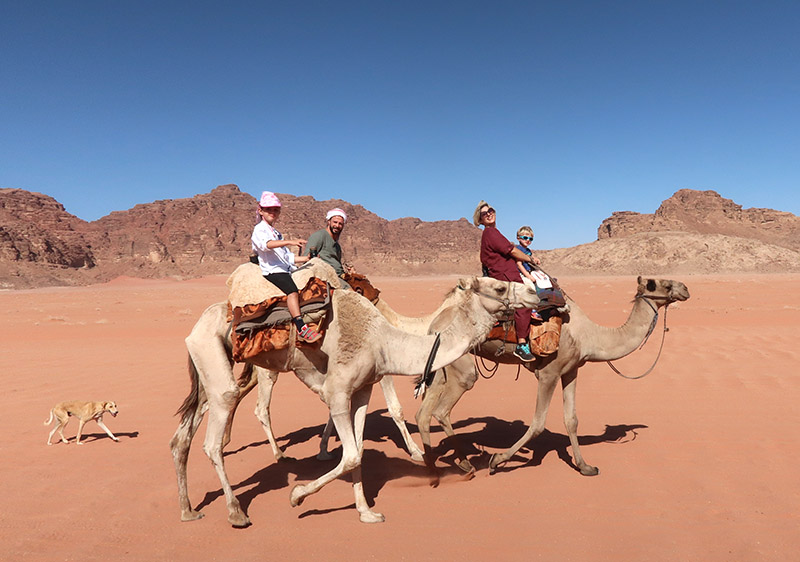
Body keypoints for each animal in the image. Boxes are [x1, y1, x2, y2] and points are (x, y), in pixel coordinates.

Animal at [168, 274, 536, 524]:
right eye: (498, 287)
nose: (535, 291)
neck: (385, 339)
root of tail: (196, 326)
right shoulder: (338, 392)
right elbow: (351, 454)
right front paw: (297, 496)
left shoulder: (361, 391)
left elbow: (357, 453)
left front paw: (366, 512)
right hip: (221, 365)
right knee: (214, 439)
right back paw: (236, 511)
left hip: (207, 369)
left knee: (182, 437)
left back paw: (188, 509)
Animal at [416, 274, 692, 474]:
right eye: (665, 284)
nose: (686, 288)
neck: (589, 335)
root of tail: (435, 321)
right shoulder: (549, 373)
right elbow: (538, 423)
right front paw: (497, 460)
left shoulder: (571, 370)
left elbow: (572, 420)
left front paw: (585, 467)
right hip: (461, 364)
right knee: (443, 408)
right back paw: (465, 464)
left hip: (440, 365)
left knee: (424, 413)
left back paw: (433, 463)